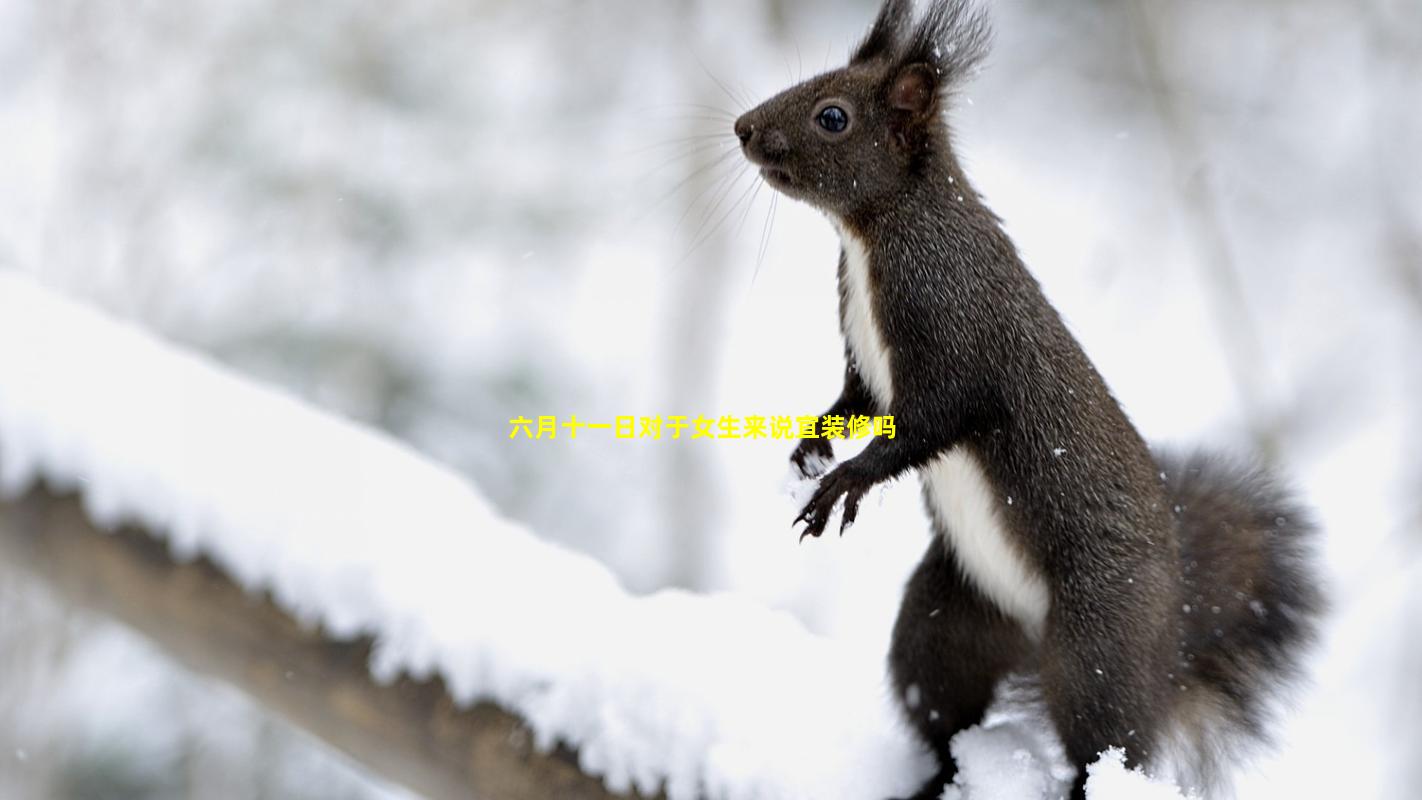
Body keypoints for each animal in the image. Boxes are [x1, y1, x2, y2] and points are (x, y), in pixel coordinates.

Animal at [733, 1, 1319, 800]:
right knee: (938, 703)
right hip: (947, 621)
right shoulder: (863, 359)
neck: (875, 233)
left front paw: (846, 481)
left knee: (1108, 742)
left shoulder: (953, 330)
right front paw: (812, 444)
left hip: (1097, 641)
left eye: (833, 116)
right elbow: (853, 400)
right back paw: (933, 779)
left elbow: (931, 422)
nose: (742, 128)